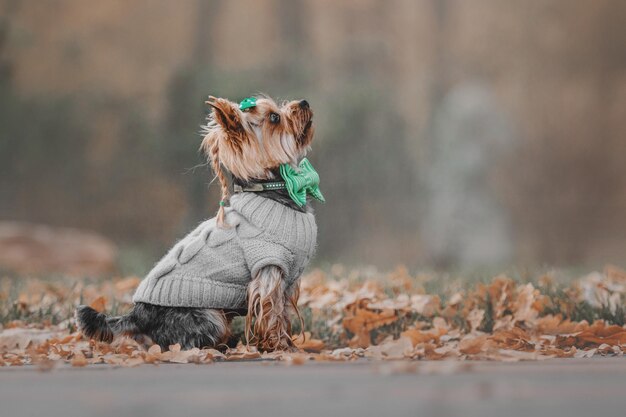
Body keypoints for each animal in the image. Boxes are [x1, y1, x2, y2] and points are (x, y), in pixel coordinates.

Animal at [77, 95, 322, 352]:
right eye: (275, 118)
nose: (304, 102)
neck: (273, 189)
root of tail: (137, 316)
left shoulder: (287, 282)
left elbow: (283, 313)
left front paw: (287, 343)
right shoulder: (268, 269)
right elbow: (271, 313)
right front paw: (279, 347)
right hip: (209, 317)